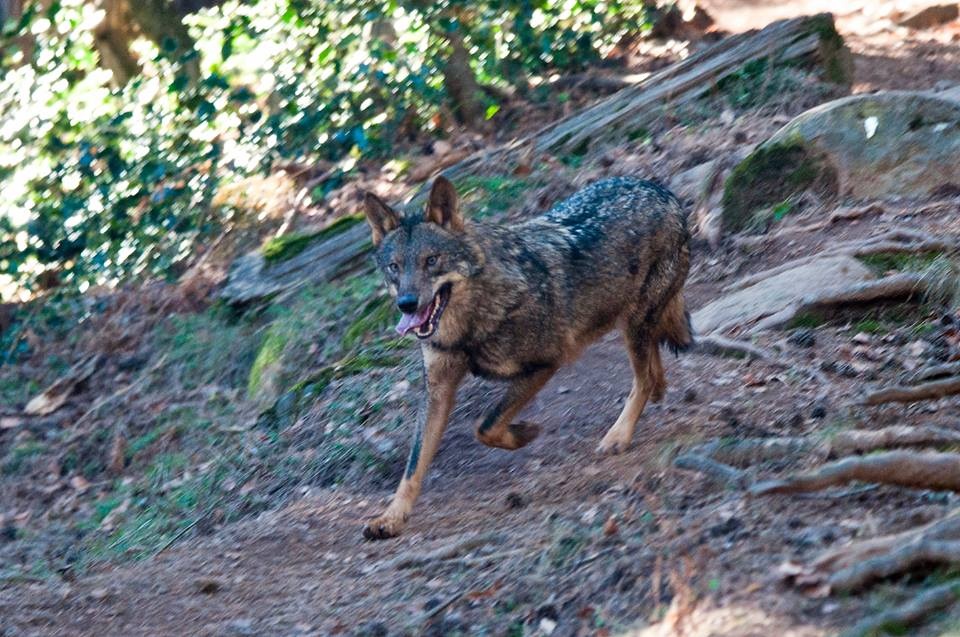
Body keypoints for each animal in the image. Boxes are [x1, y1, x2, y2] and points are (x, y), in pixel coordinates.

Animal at [361, 175, 692, 540]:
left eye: (431, 260)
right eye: (394, 267)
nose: (406, 304)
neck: (469, 329)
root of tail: (659, 189)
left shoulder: (545, 364)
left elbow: (486, 425)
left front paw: (525, 432)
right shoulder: (437, 390)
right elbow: (413, 467)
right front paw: (391, 518)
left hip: (633, 324)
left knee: (642, 378)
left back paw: (618, 435)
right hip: (633, 323)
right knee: (651, 369)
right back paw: (656, 394)